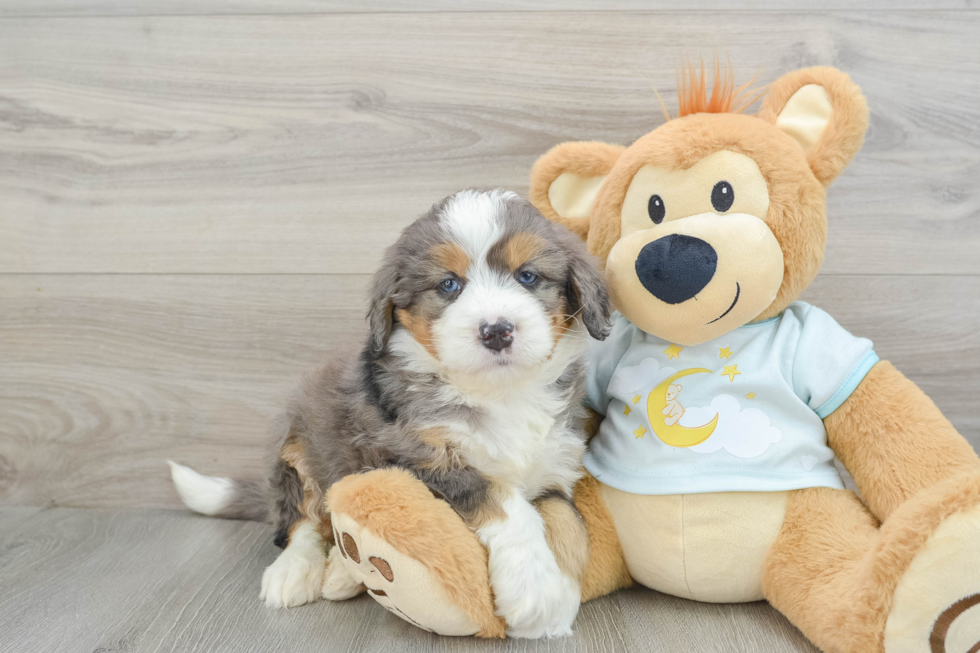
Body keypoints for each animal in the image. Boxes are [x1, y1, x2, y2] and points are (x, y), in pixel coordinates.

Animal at [172, 188, 608, 636]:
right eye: (448, 284)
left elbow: (570, 524)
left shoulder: (555, 464)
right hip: (297, 443)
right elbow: (501, 497)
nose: (497, 331)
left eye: (528, 276)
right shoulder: (413, 456)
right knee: (303, 520)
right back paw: (295, 571)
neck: (499, 392)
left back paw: (342, 571)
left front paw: (559, 599)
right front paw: (534, 589)